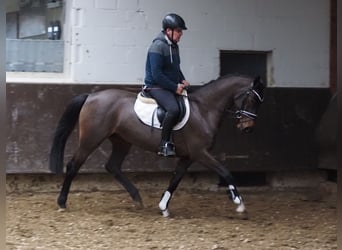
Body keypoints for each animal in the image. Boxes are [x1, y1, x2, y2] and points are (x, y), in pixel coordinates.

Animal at [49, 74, 266, 217]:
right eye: (251, 99)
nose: (248, 128)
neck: (204, 110)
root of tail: (91, 96)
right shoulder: (200, 153)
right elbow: (226, 172)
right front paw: (238, 202)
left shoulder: (188, 156)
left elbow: (175, 180)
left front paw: (163, 206)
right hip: (91, 139)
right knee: (74, 165)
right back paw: (62, 202)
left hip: (122, 141)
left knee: (113, 166)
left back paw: (137, 199)